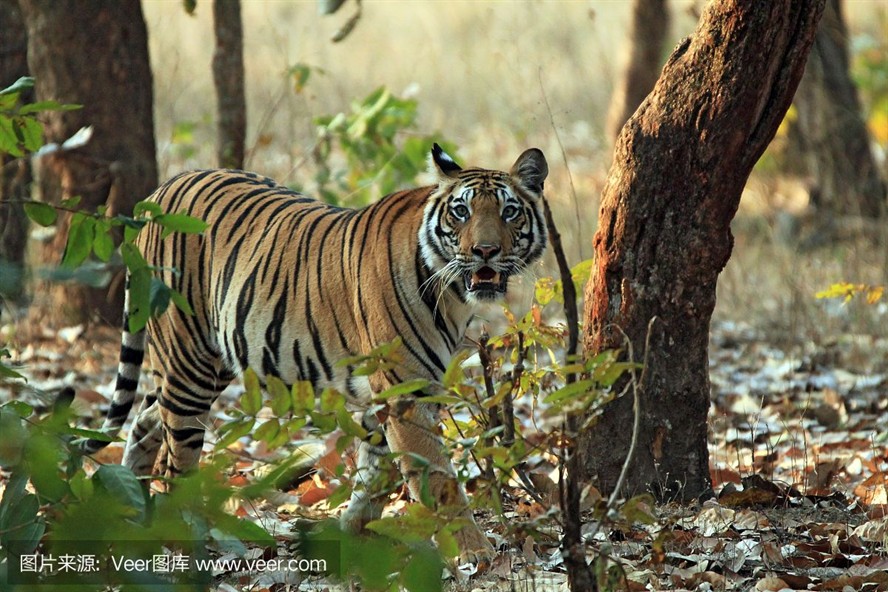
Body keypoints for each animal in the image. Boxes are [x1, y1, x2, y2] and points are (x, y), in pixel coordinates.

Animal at [80, 144, 549, 562]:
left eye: (509, 212)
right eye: (461, 212)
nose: (485, 251)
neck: (453, 296)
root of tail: (161, 190)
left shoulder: (388, 395)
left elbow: (374, 473)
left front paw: (353, 535)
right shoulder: (405, 393)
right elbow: (436, 477)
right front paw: (475, 552)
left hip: (209, 362)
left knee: (145, 420)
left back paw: (129, 507)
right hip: (187, 360)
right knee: (178, 456)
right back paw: (178, 535)